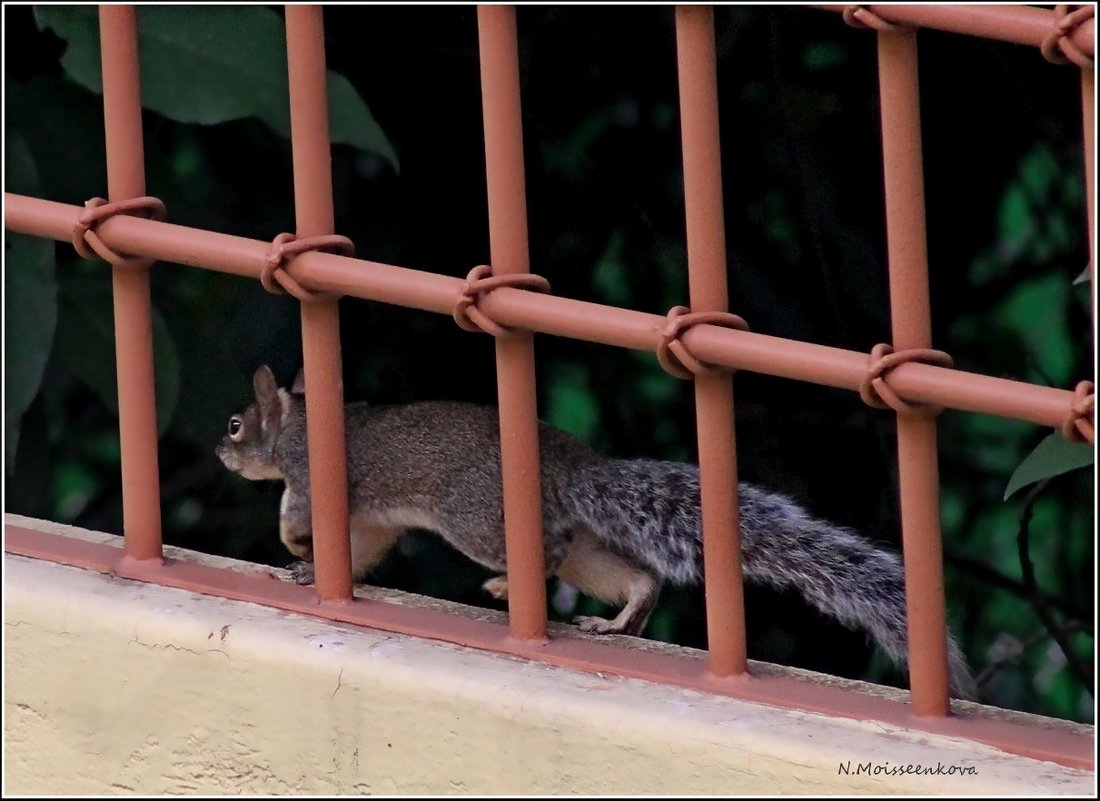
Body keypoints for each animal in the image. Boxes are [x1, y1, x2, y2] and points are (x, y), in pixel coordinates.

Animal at [218, 365, 976, 699]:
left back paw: (505, 584)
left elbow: (299, 514)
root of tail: (568, 463)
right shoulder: (370, 521)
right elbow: (363, 550)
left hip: (476, 517)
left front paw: (293, 547)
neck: (298, 421)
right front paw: (309, 569)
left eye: (234, 423)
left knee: (545, 553)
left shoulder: (313, 478)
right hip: (585, 546)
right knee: (631, 574)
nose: (219, 453)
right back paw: (618, 621)